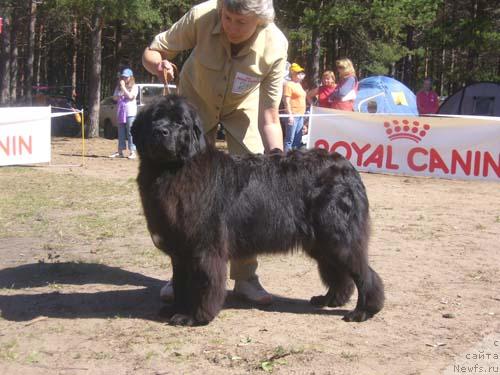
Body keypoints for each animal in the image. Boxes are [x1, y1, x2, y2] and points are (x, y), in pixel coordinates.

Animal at [131, 96, 384, 326]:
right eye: (154, 119)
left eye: (179, 122)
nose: (161, 131)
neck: (172, 170)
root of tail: (347, 166)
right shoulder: (180, 249)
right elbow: (181, 282)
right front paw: (175, 309)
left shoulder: (203, 247)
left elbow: (201, 283)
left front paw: (193, 316)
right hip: (321, 242)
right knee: (338, 272)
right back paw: (329, 299)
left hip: (338, 236)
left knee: (364, 273)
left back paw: (363, 311)